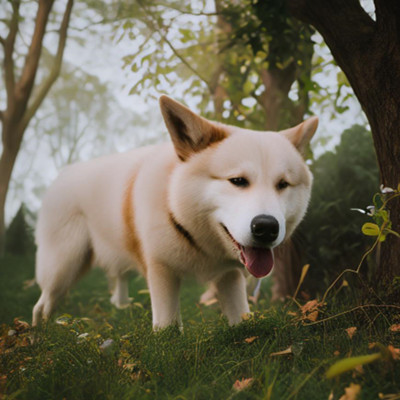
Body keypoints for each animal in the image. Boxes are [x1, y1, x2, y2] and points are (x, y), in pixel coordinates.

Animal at [32, 96, 318, 328]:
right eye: (238, 181)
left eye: (282, 184)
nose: (267, 228)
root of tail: (64, 173)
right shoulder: (161, 272)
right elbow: (167, 329)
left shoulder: (230, 276)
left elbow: (241, 321)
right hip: (64, 266)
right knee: (41, 306)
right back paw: (39, 338)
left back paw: (121, 307)